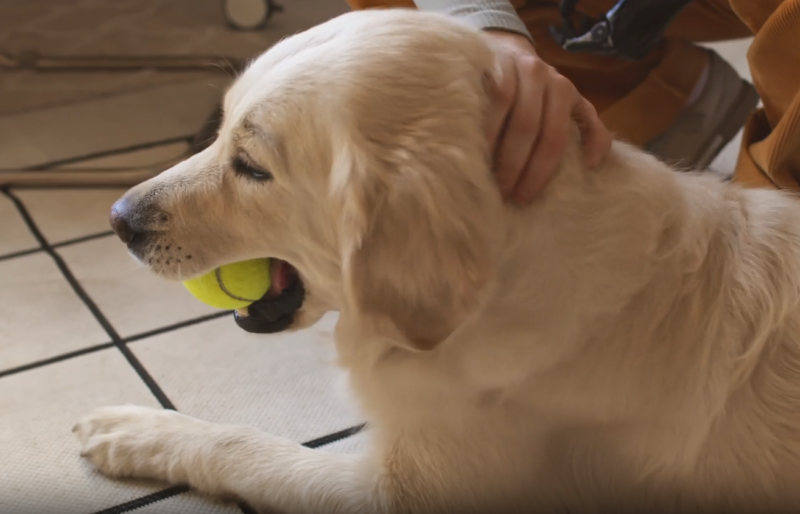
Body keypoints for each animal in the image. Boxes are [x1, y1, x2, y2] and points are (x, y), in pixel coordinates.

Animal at [73, 8, 800, 512]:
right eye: (218, 127)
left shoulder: (405, 493)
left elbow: (246, 445)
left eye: (251, 166)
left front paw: (133, 431)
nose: (118, 219)